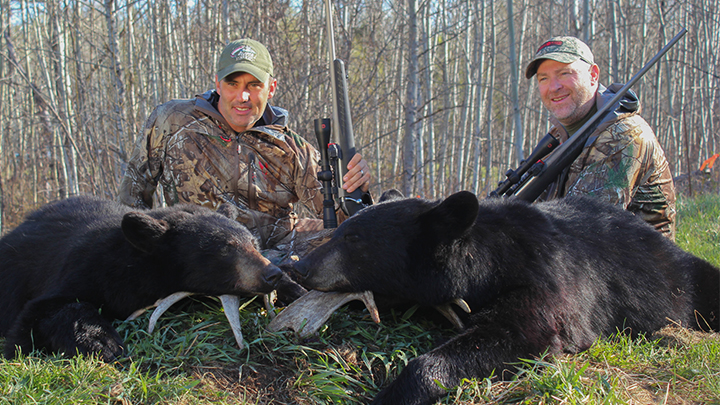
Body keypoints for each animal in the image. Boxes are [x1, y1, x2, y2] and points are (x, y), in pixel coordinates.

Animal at [0, 196, 296, 360]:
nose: (272, 274)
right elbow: (36, 317)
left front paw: (293, 289)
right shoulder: (84, 268)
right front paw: (104, 342)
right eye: (226, 248)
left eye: (253, 243)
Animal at [292, 190, 720, 404]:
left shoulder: (543, 279)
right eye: (339, 231)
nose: (299, 266)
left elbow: (521, 332)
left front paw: (394, 393)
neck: (486, 261)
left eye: (353, 238)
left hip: (683, 276)